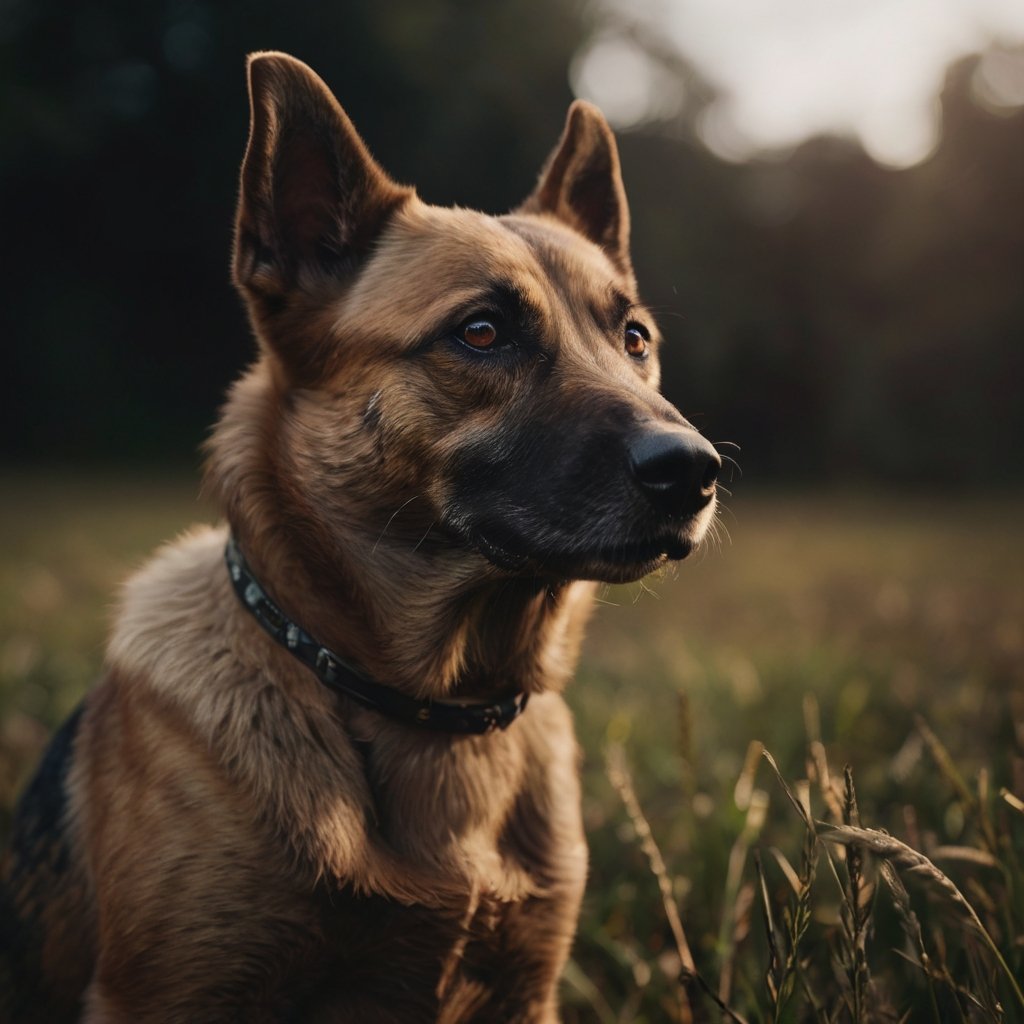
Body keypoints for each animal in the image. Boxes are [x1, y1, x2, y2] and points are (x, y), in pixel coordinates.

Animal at [0, 51, 720, 1019]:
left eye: (635, 338)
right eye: (481, 332)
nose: (693, 471)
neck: (436, 715)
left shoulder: (525, 991)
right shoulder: (164, 995)